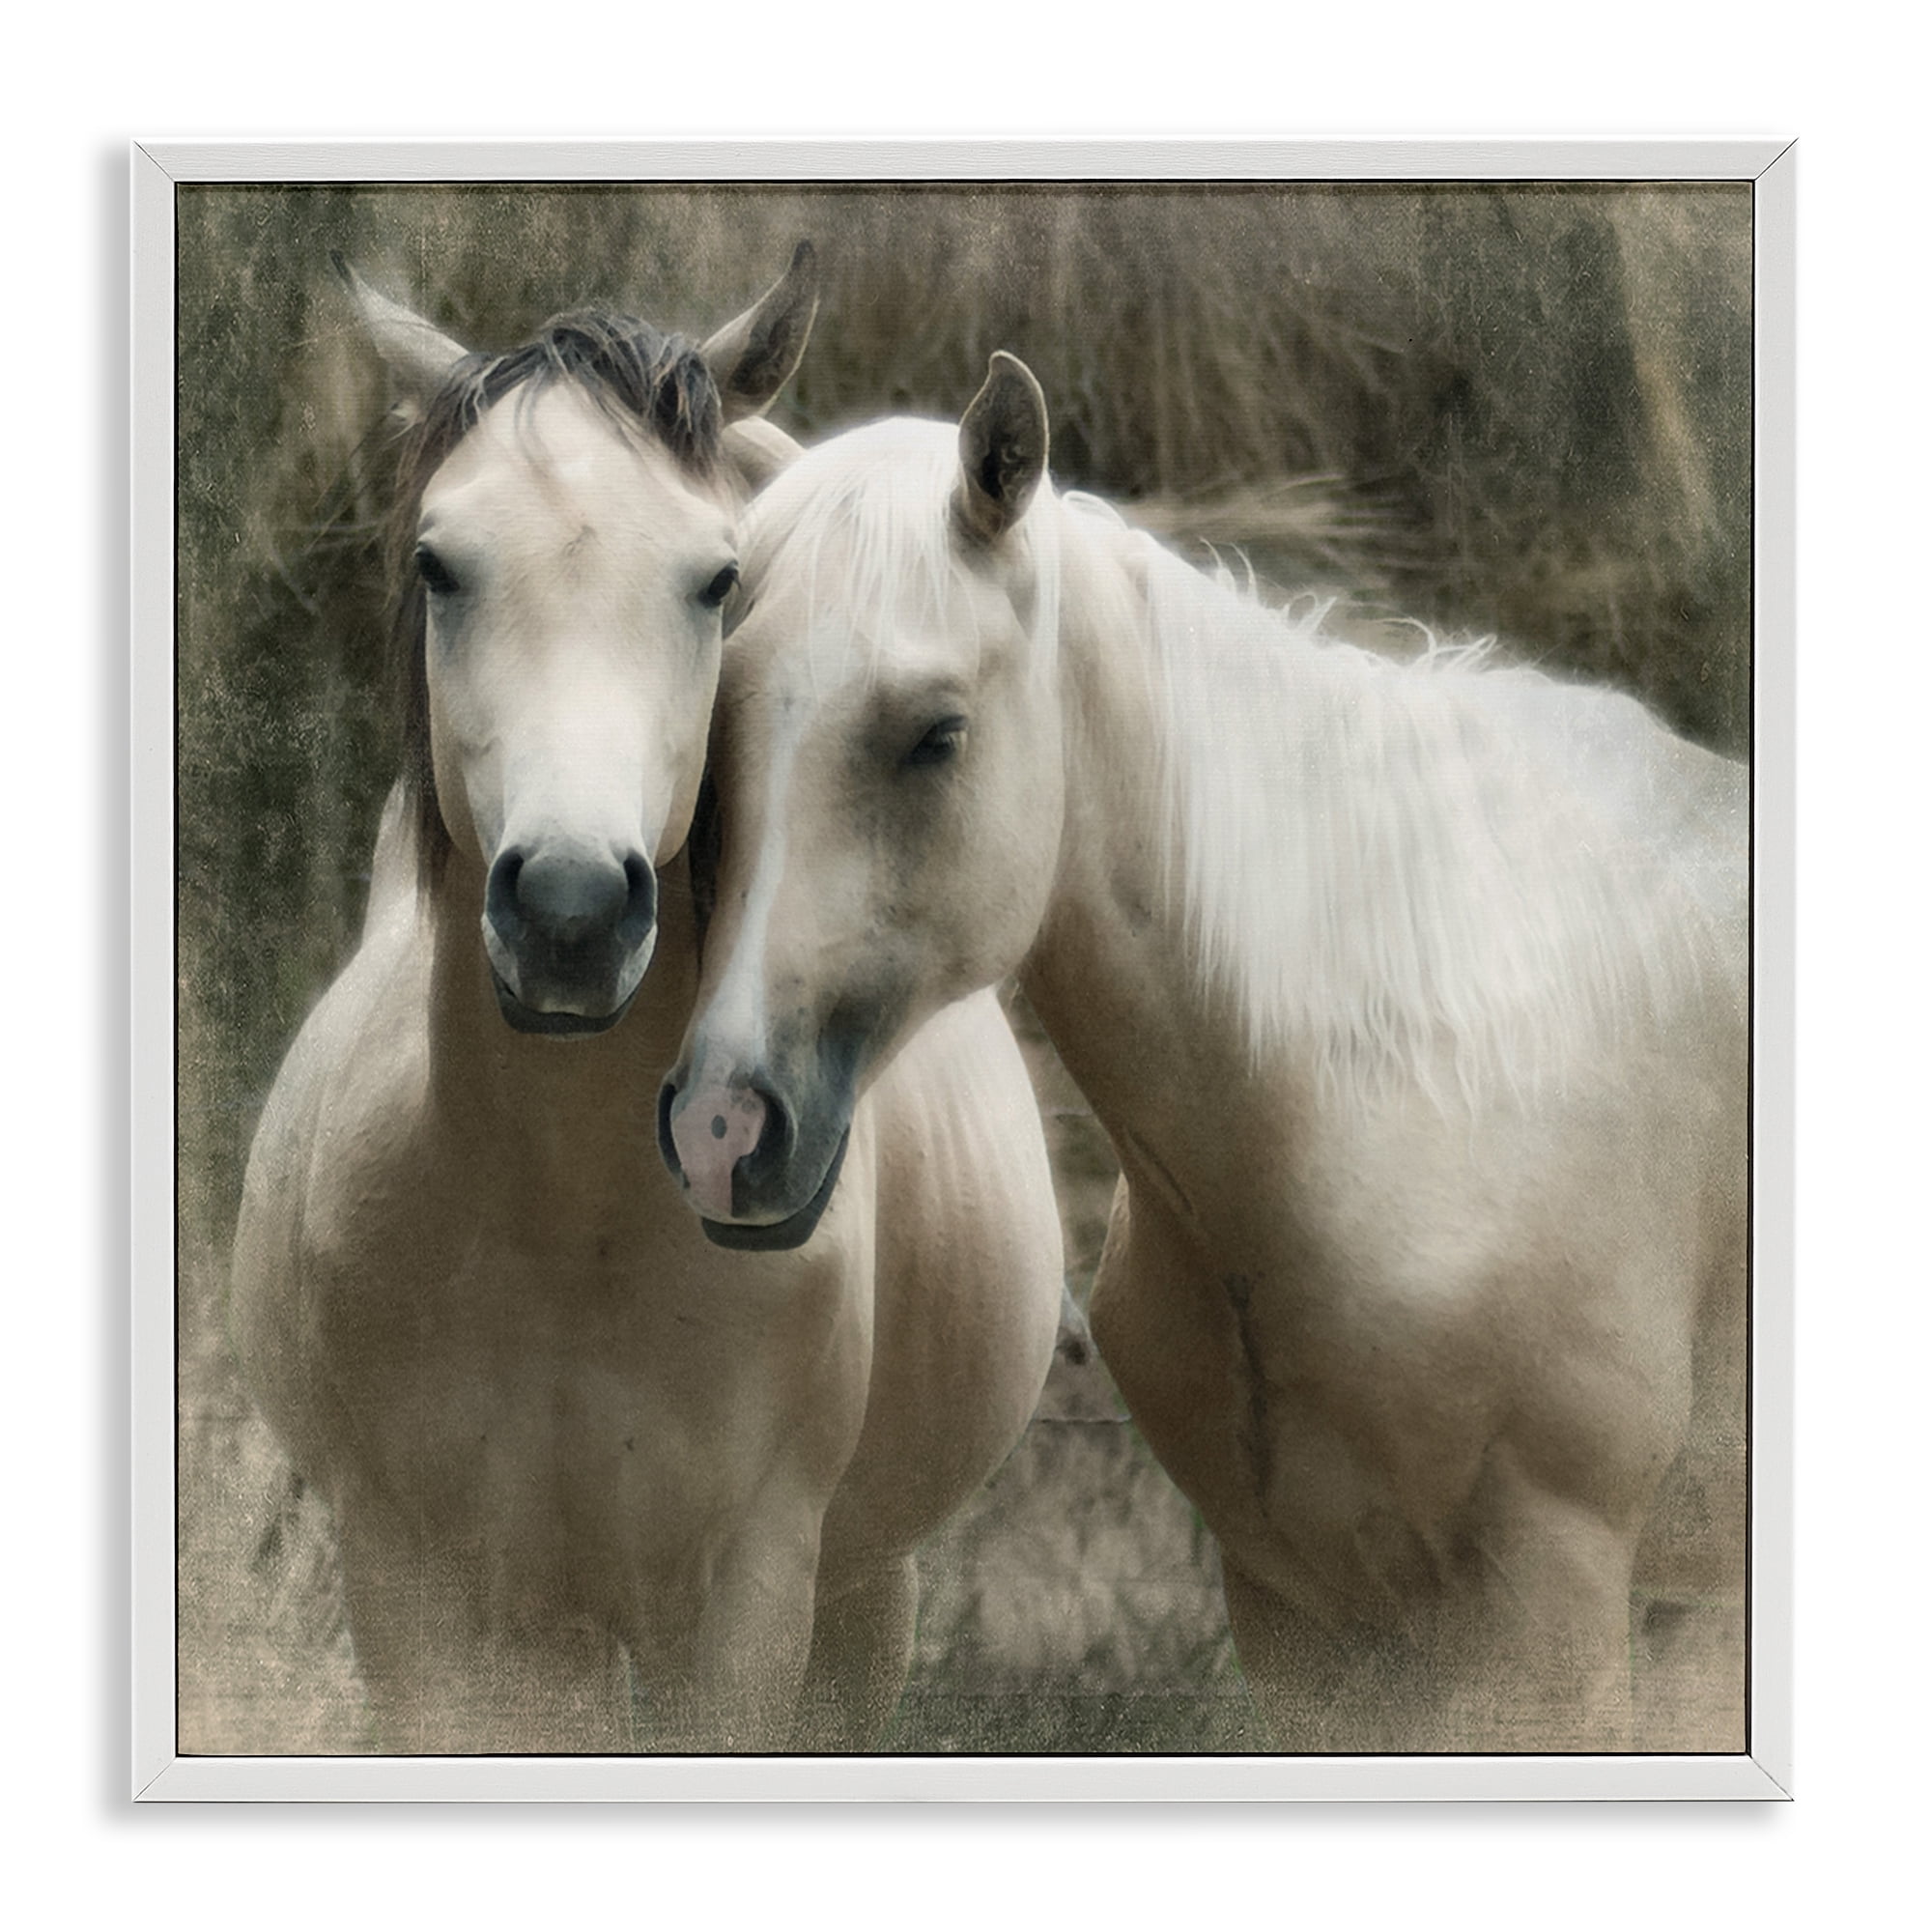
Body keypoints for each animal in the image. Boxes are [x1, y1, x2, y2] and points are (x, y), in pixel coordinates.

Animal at [228, 271, 1065, 1755]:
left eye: (716, 579)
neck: (568, 1230)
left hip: (863, 1595)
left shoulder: (740, 1609)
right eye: (437, 565)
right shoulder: (420, 1600)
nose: (569, 908)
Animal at [658, 353, 1750, 1753]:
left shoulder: (1544, 1626)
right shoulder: (1305, 1624)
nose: (721, 1130)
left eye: (936, 733)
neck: (1406, 1089)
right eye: (715, 739)